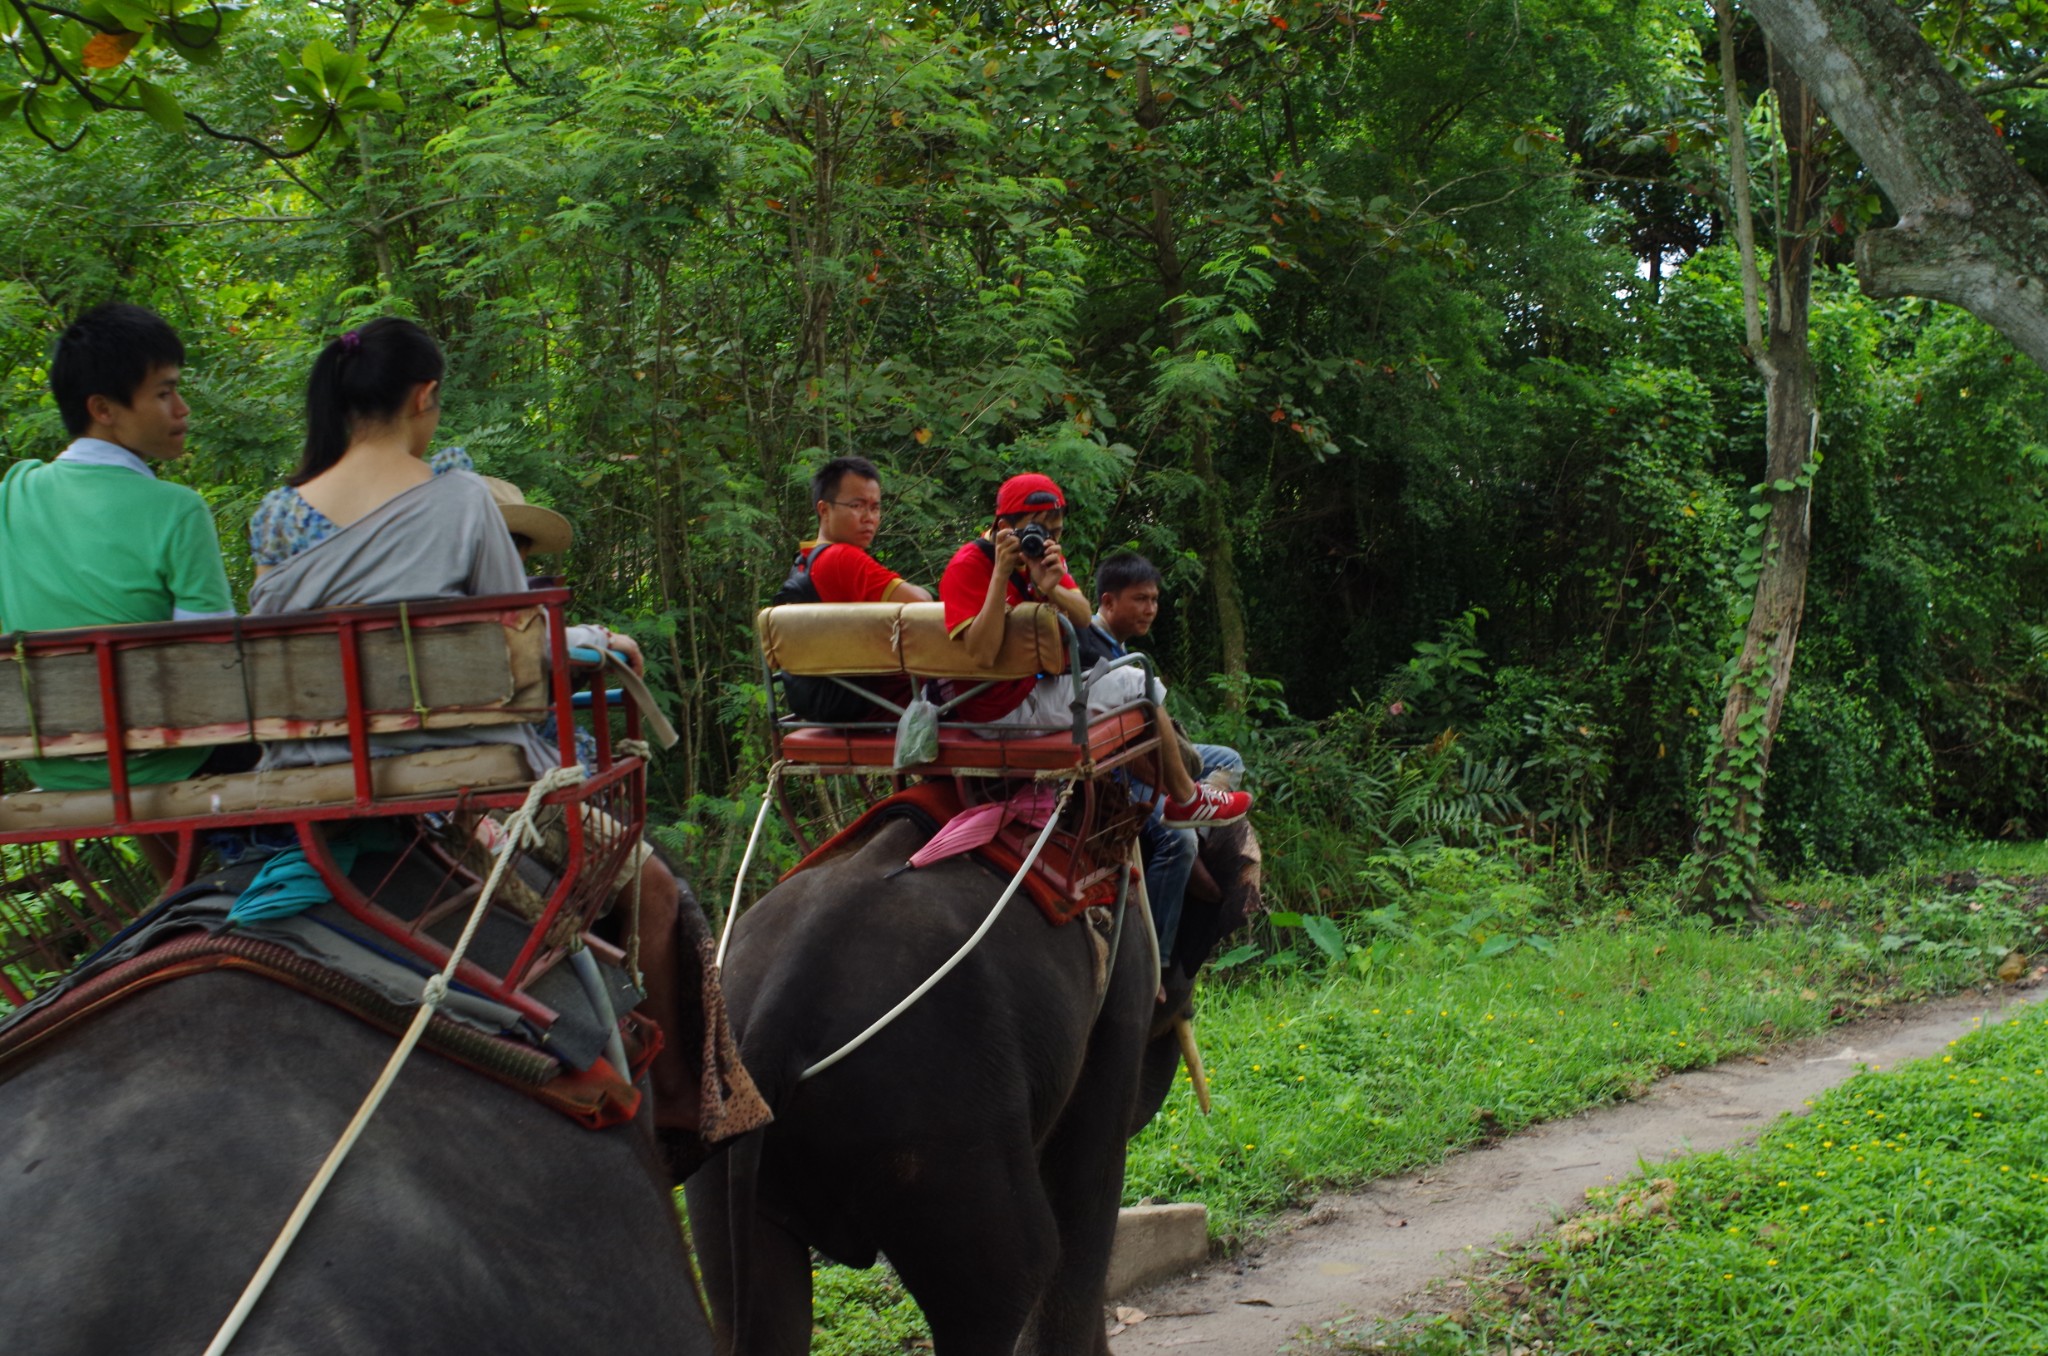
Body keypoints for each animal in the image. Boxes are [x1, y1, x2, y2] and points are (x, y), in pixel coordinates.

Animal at [692, 811, 1261, 1351]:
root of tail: (775, 1017)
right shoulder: (1120, 976)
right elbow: (1087, 1173)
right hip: (938, 1104)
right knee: (1009, 1277)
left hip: (726, 1134)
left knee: (758, 1312)